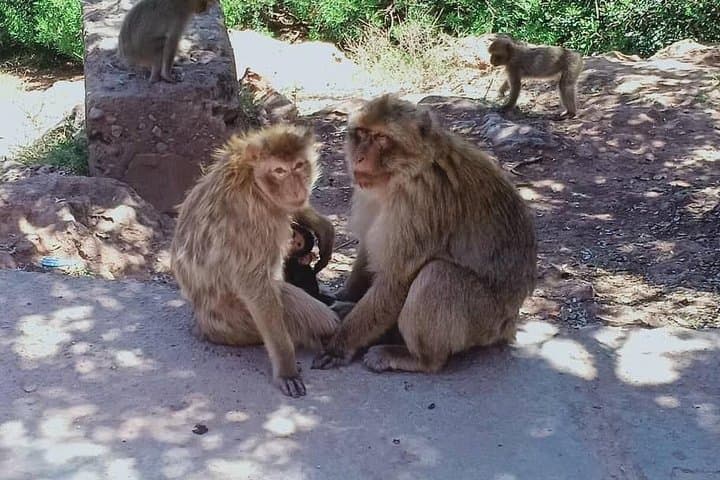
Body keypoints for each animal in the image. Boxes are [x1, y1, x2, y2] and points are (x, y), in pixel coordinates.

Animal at [170, 124, 339, 397]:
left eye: (299, 165)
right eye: (279, 170)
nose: (297, 189)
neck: (252, 180)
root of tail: (203, 324)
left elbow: (288, 209)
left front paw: (321, 224)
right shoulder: (249, 219)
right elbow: (254, 285)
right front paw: (286, 367)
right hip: (239, 323)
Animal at [312, 94, 537, 374]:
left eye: (381, 138)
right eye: (362, 133)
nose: (360, 157)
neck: (403, 175)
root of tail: (510, 325)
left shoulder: (419, 205)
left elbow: (396, 279)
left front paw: (340, 344)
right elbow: (368, 247)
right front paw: (346, 296)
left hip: (485, 321)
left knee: (438, 274)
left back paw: (418, 358)